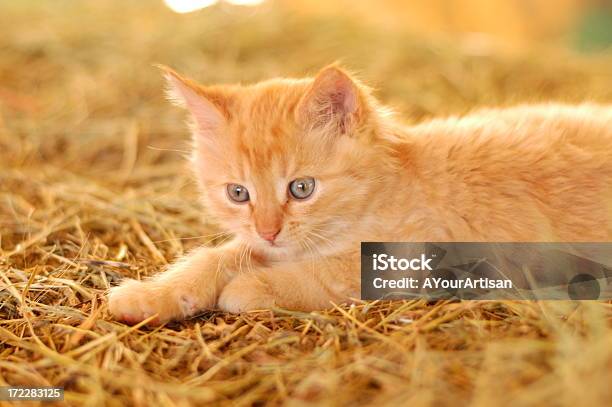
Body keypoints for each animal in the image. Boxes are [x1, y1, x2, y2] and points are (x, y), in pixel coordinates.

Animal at [107, 64, 612, 326]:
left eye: (301, 188)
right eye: (238, 193)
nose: (269, 231)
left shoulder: (404, 261)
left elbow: (318, 275)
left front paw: (249, 288)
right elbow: (216, 257)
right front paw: (152, 295)